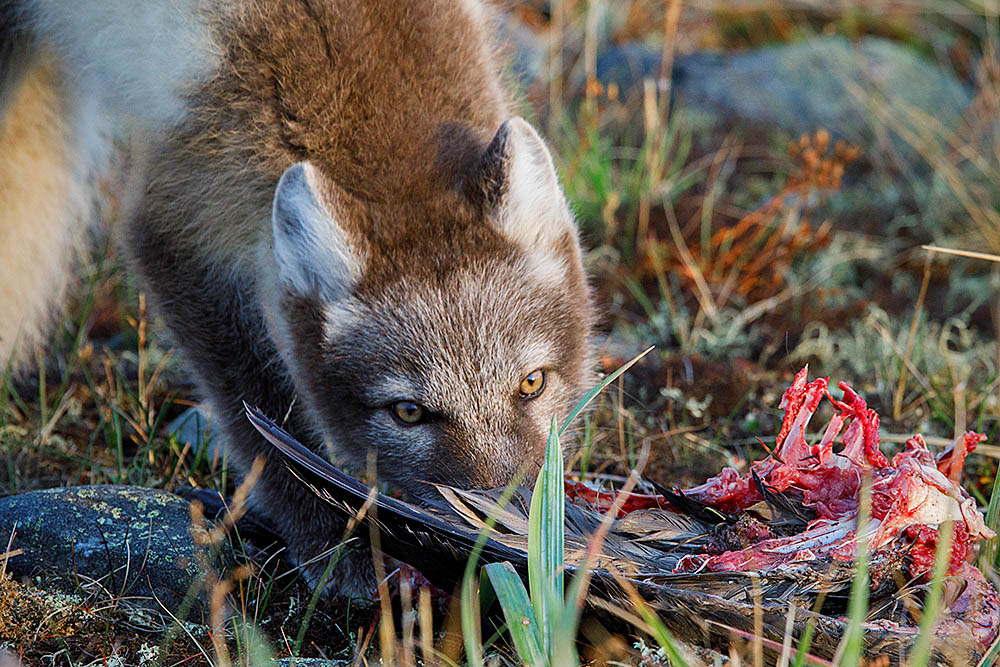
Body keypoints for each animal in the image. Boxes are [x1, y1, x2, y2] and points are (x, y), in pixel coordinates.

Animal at [1, 1, 592, 596]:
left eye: (532, 384)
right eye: (407, 412)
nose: (510, 527)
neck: (368, 104)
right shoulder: (178, 215)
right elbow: (260, 415)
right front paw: (334, 546)